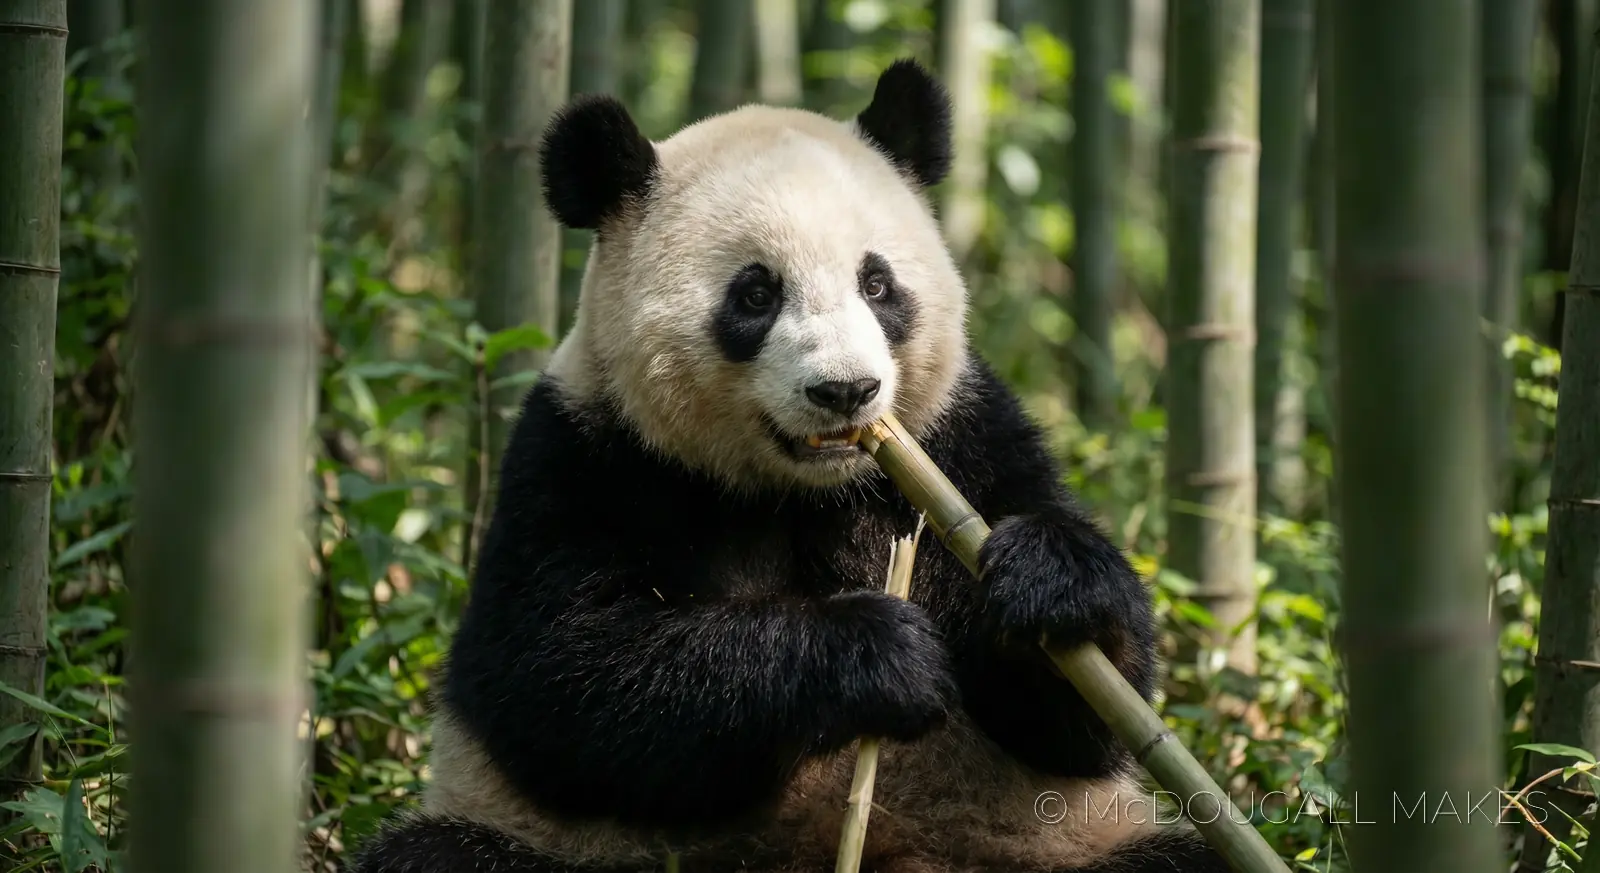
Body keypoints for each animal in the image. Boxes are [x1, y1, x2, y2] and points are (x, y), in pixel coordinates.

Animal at [350, 58, 1234, 873]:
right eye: (755, 294)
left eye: (877, 283)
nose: (846, 390)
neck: (801, 489)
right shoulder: (586, 455)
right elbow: (560, 674)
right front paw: (876, 652)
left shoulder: (963, 433)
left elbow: (1081, 723)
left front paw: (1051, 582)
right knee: (439, 853)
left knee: (1182, 858)